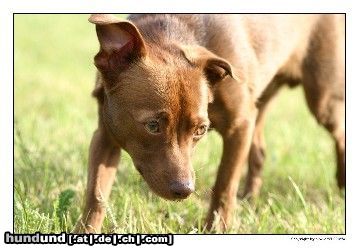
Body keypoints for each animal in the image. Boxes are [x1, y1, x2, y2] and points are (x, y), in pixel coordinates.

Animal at [79, 14, 346, 233]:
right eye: (153, 125)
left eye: (200, 130)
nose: (185, 190)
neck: (173, 30)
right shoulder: (105, 137)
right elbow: (96, 196)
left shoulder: (240, 125)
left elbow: (225, 185)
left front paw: (216, 229)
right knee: (260, 151)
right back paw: (250, 198)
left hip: (323, 100)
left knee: (341, 134)